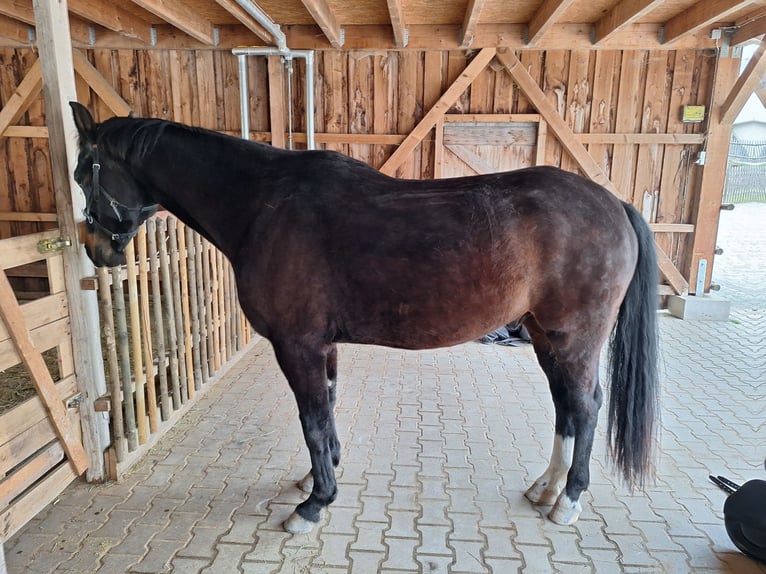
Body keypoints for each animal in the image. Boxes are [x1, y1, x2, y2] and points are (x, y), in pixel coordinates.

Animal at [69, 102, 659, 534]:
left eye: (82, 173)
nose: (96, 249)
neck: (264, 206)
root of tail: (613, 203)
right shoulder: (321, 345)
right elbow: (326, 411)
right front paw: (319, 476)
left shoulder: (297, 344)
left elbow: (311, 418)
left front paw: (314, 504)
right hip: (543, 335)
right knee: (567, 408)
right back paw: (547, 487)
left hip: (573, 338)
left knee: (585, 407)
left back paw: (569, 500)